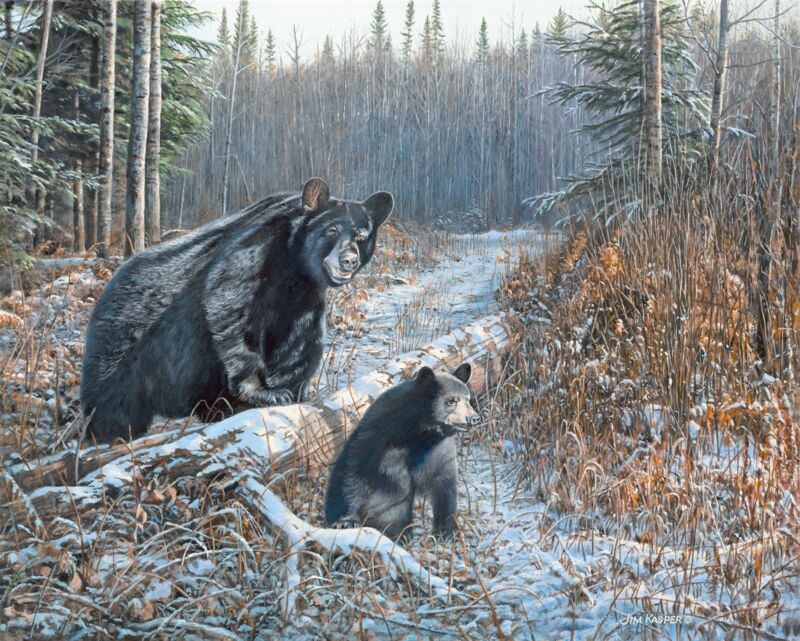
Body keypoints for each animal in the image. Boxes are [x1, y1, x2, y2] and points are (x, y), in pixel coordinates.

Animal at [80, 178, 393, 442]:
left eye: (362, 236)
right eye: (331, 230)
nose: (348, 260)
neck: (296, 266)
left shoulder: (304, 297)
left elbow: (301, 338)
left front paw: (295, 388)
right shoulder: (253, 252)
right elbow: (227, 305)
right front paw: (264, 392)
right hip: (122, 346)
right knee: (112, 402)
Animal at [324, 363, 479, 539]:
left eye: (467, 399)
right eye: (451, 401)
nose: (474, 418)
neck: (421, 436)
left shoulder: (439, 454)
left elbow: (445, 490)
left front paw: (445, 533)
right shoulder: (377, 442)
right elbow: (354, 474)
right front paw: (345, 521)